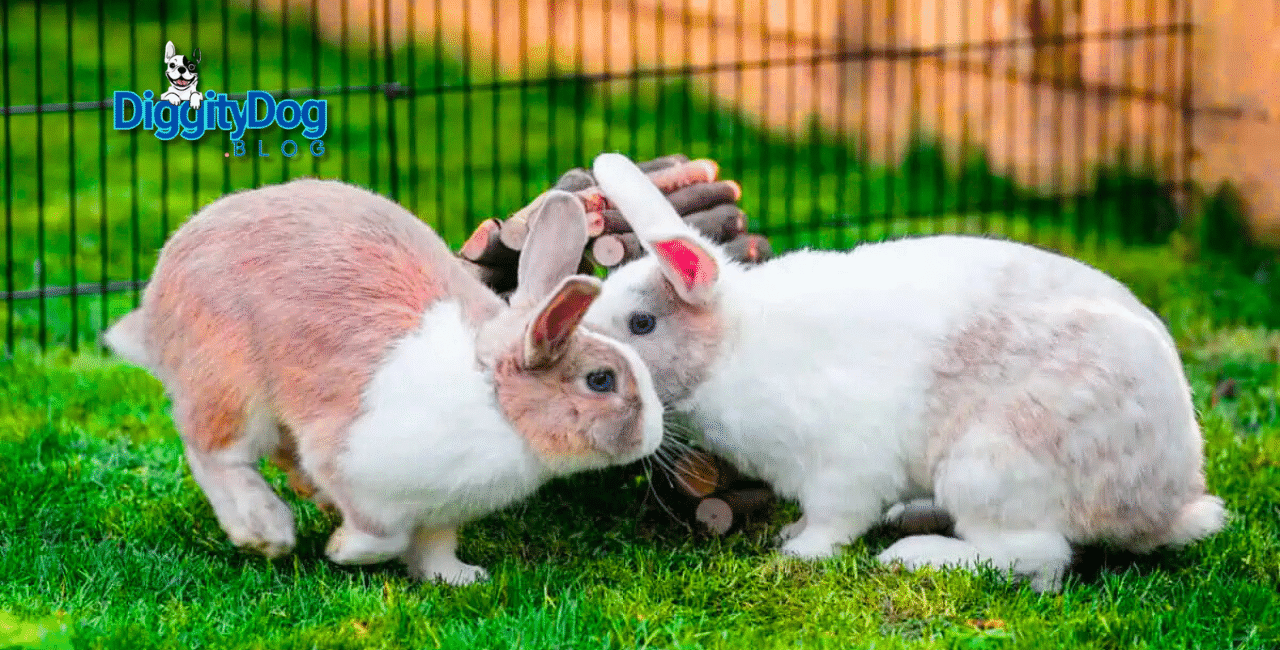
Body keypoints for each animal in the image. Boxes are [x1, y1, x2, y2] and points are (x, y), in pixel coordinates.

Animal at [103, 178, 664, 585]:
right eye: (600, 380)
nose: (654, 434)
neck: (496, 402)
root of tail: (157, 299)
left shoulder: (442, 512)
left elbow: (434, 548)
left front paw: (459, 578)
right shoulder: (354, 467)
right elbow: (383, 537)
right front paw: (342, 551)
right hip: (228, 383)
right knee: (214, 453)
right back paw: (266, 530)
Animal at [580, 152, 1225, 592]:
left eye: (642, 323)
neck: (734, 345)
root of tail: (1167, 502)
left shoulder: (842, 469)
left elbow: (834, 521)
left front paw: (797, 552)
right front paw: (789, 535)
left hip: (991, 465)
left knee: (1034, 559)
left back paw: (914, 555)